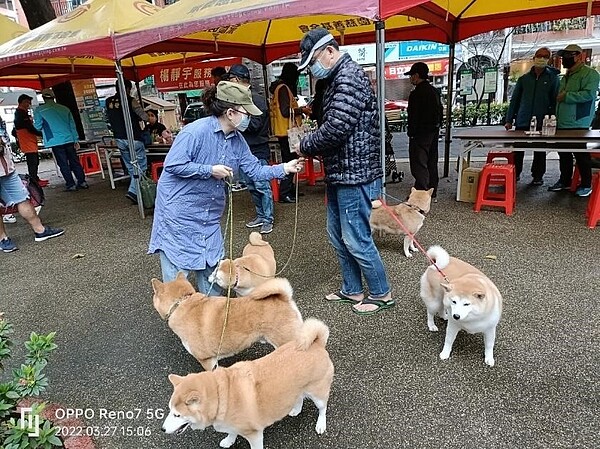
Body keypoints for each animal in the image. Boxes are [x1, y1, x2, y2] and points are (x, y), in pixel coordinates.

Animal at [162, 318, 336, 448]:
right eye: (170, 410)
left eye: (177, 415)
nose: (162, 429)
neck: (222, 397)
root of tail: (316, 343)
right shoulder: (232, 424)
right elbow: (231, 432)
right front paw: (229, 441)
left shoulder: (255, 435)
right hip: (296, 389)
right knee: (299, 397)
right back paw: (295, 409)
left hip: (318, 395)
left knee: (322, 409)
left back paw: (321, 424)